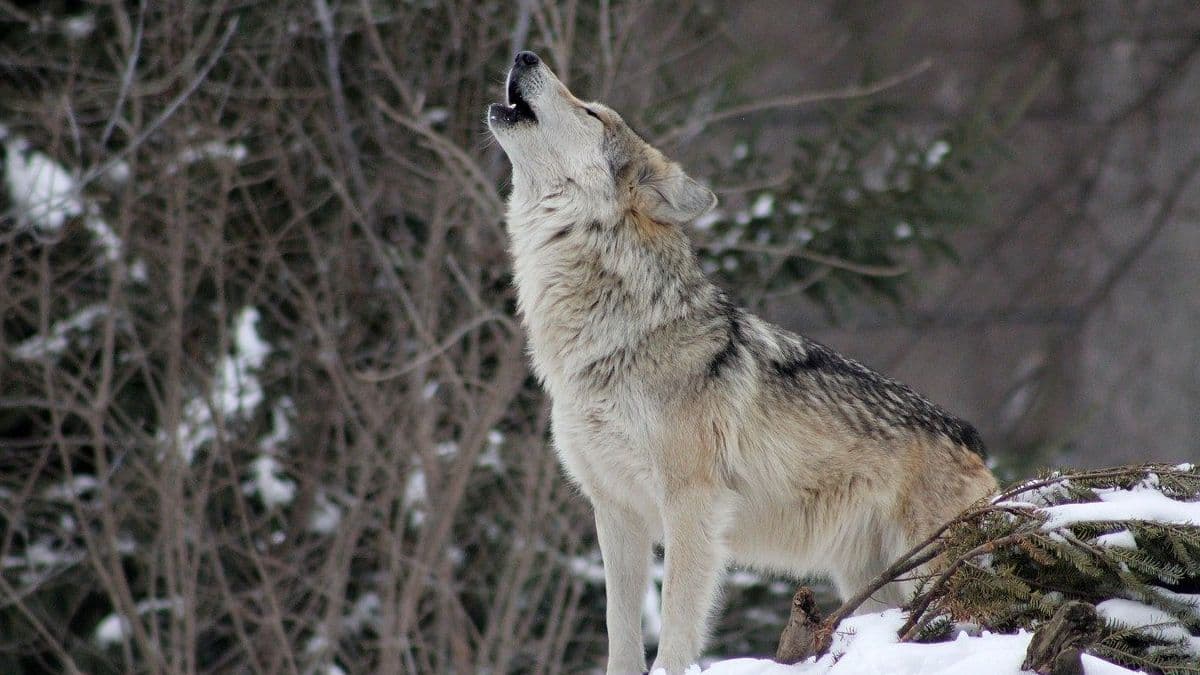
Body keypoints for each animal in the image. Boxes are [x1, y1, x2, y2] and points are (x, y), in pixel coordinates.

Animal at [482, 49, 998, 667]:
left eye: (592, 112)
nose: (525, 54)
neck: (611, 337)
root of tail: (973, 440)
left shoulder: (692, 504)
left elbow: (676, 626)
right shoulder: (615, 511)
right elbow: (619, 632)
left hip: (925, 573)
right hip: (870, 584)